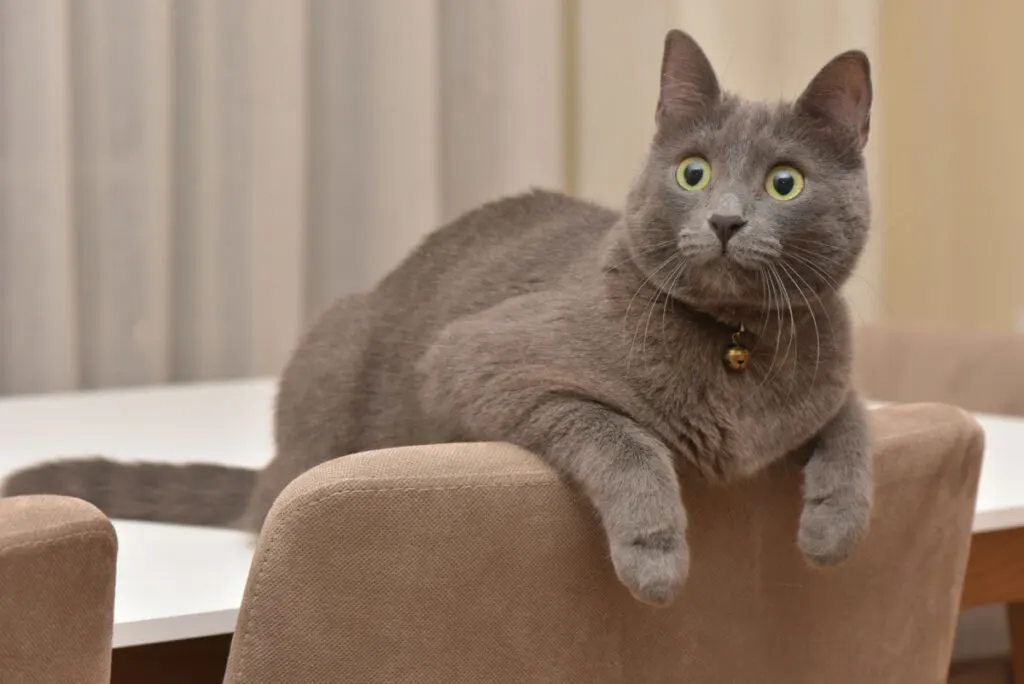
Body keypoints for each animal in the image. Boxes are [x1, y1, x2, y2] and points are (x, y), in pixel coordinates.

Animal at [4, 29, 876, 606]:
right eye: (693, 172)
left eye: (785, 182)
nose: (726, 220)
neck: (736, 344)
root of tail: (272, 474)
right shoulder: (479, 360)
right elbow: (621, 434)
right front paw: (656, 558)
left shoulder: (827, 365)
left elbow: (855, 416)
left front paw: (835, 527)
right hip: (338, 341)